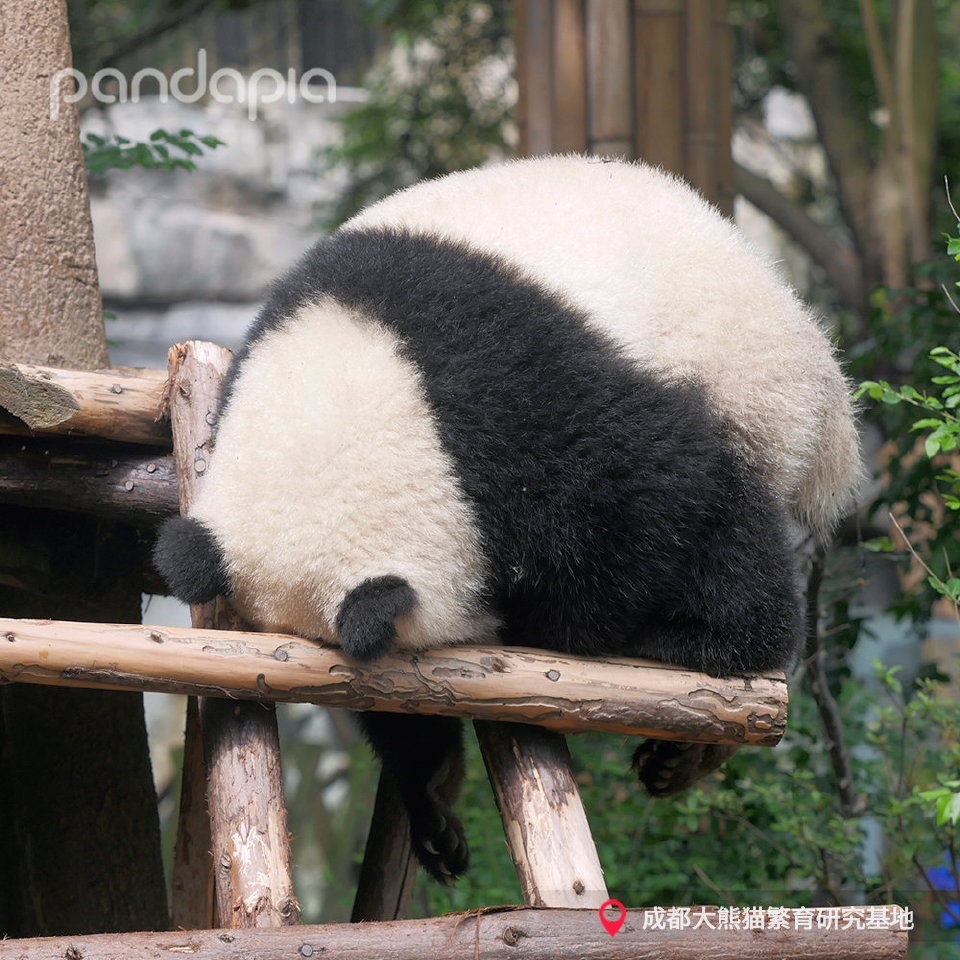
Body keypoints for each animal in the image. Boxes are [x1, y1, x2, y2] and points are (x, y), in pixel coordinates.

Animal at [154, 154, 860, 880]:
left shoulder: (510, 383)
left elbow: (650, 486)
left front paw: (553, 625)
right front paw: (433, 805)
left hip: (749, 385)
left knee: (729, 512)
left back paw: (712, 655)